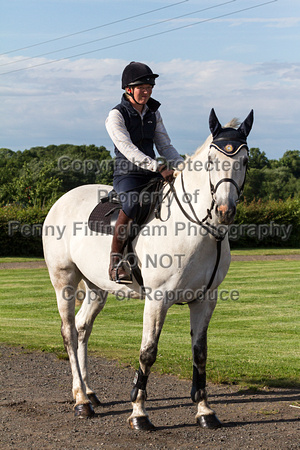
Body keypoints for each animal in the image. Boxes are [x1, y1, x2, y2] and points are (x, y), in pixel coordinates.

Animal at [42, 108, 253, 428]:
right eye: (212, 161)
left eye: (244, 161)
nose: (224, 211)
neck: (196, 228)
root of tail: (62, 200)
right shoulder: (157, 300)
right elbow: (148, 353)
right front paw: (139, 413)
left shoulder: (205, 300)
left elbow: (200, 353)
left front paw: (205, 411)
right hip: (63, 281)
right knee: (68, 332)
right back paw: (81, 402)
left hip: (96, 288)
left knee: (82, 327)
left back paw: (88, 392)